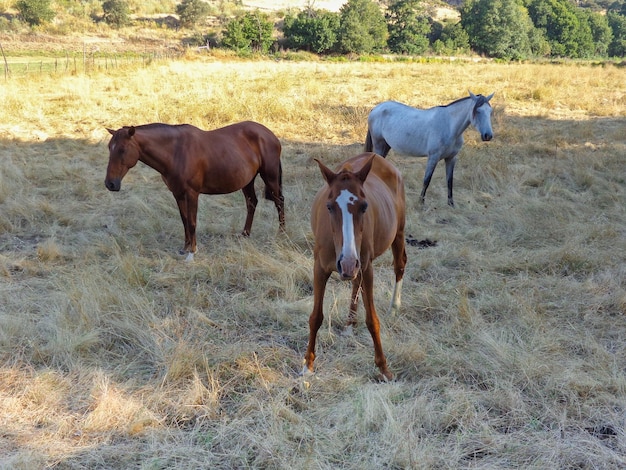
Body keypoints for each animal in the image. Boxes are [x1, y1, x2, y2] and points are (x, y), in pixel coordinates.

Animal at [103, 121, 284, 260]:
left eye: (122, 150)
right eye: (109, 148)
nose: (110, 184)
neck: (176, 152)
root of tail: (270, 134)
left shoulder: (192, 194)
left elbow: (192, 222)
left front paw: (192, 252)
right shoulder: (177, 194)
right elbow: (184, 220)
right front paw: (185, 248)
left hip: (270, 176)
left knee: (279, 202)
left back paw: (281, 234)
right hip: (247, 181)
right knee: (252, 203)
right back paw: (245, 234)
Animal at [302, 152, 404, 380]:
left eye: (364, 207)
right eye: (329, 206)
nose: (347, 263)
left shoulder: (366, 267)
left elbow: (372, 320)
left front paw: (383, 368)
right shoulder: (319, 268)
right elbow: (315, 317)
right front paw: (308, 364)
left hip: (398, 233)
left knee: (399, 265)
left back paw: (394, 307)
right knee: (356, 283)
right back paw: (349, 323)